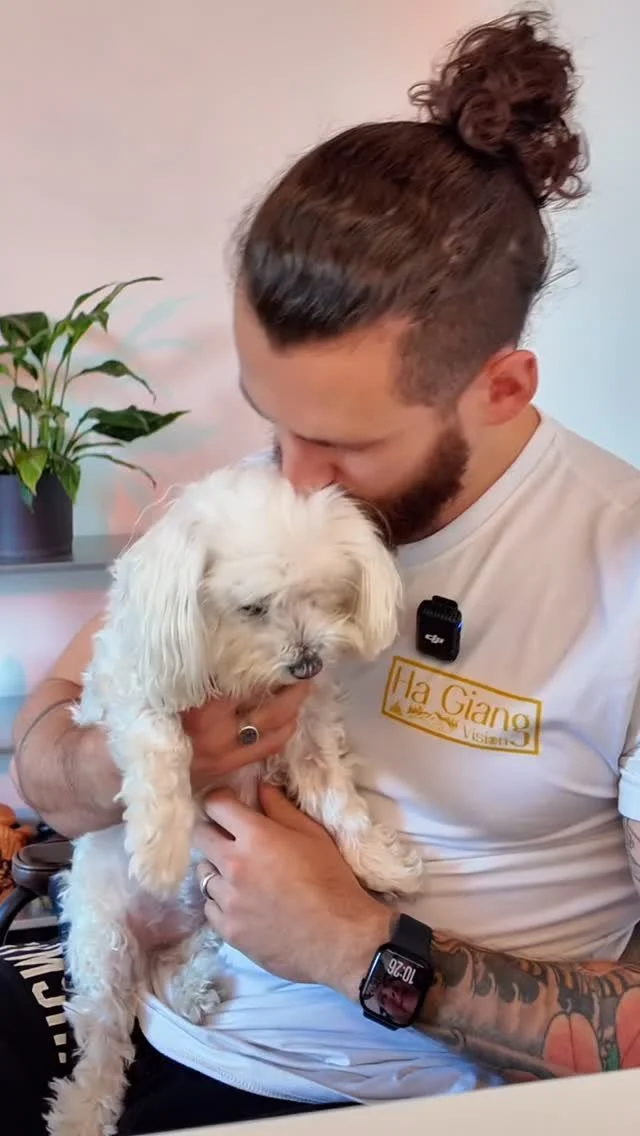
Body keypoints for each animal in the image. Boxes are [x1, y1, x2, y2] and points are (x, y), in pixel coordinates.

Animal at [46, 462, 424, 1136]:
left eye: (323, 595)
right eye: (253, 607)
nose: (307, 661)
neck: (235, 678)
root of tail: (152, 940)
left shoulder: (307, 731)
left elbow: (337, 798)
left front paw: (379, 864)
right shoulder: (134, 691)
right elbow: (161, 743)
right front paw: (160, 847)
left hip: (215, 911)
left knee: (190, 956)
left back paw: (191, 988)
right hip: (101, 940)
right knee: (104, 1036)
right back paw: (83, 1110)